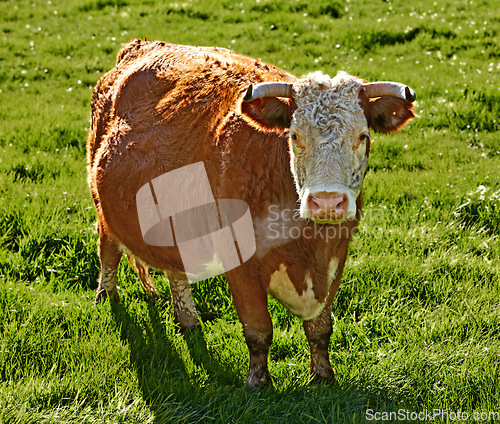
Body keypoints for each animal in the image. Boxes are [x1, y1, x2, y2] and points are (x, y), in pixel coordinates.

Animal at [87, 39, 414, 388]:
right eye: (294, 136)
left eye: (362, 136)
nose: (327, 202)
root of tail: (143, 45)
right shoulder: (239, 261)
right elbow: (258, 329)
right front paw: (258, 382)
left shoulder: (336, 254)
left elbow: (320, 328)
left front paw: (323, 376)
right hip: (102, 207)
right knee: (108, 250)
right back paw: (106, 295)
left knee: (177, 271)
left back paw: (188, 319)